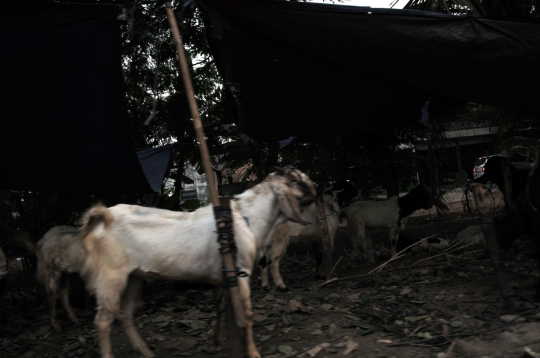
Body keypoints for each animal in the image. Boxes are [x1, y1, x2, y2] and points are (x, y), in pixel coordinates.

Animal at [80, 166, 316, 358]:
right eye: (295, 180)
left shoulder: (221, 276)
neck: (247, 218)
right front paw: (253, 352)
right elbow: (247, 313)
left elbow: (220, 307)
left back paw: (147, 352)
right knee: (103, 320)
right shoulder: (241, 271)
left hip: (133, 276)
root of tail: (101, 217)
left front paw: (218, 342)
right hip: (111, 276)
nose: (315, 190)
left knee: (125, 314)